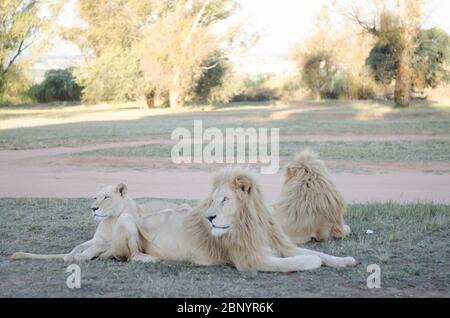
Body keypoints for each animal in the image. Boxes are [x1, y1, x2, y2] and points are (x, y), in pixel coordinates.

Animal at [11, 168, 358, 272]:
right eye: (212, 200)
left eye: (225, 199)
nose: (210, 217)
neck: (250, 221)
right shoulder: (249, 260)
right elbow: (304, 261)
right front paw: (315, 263)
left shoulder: (281, 245)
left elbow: (315, 252)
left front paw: (345, 260)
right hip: (126, 224)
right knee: (124, 255)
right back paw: (147, 258)